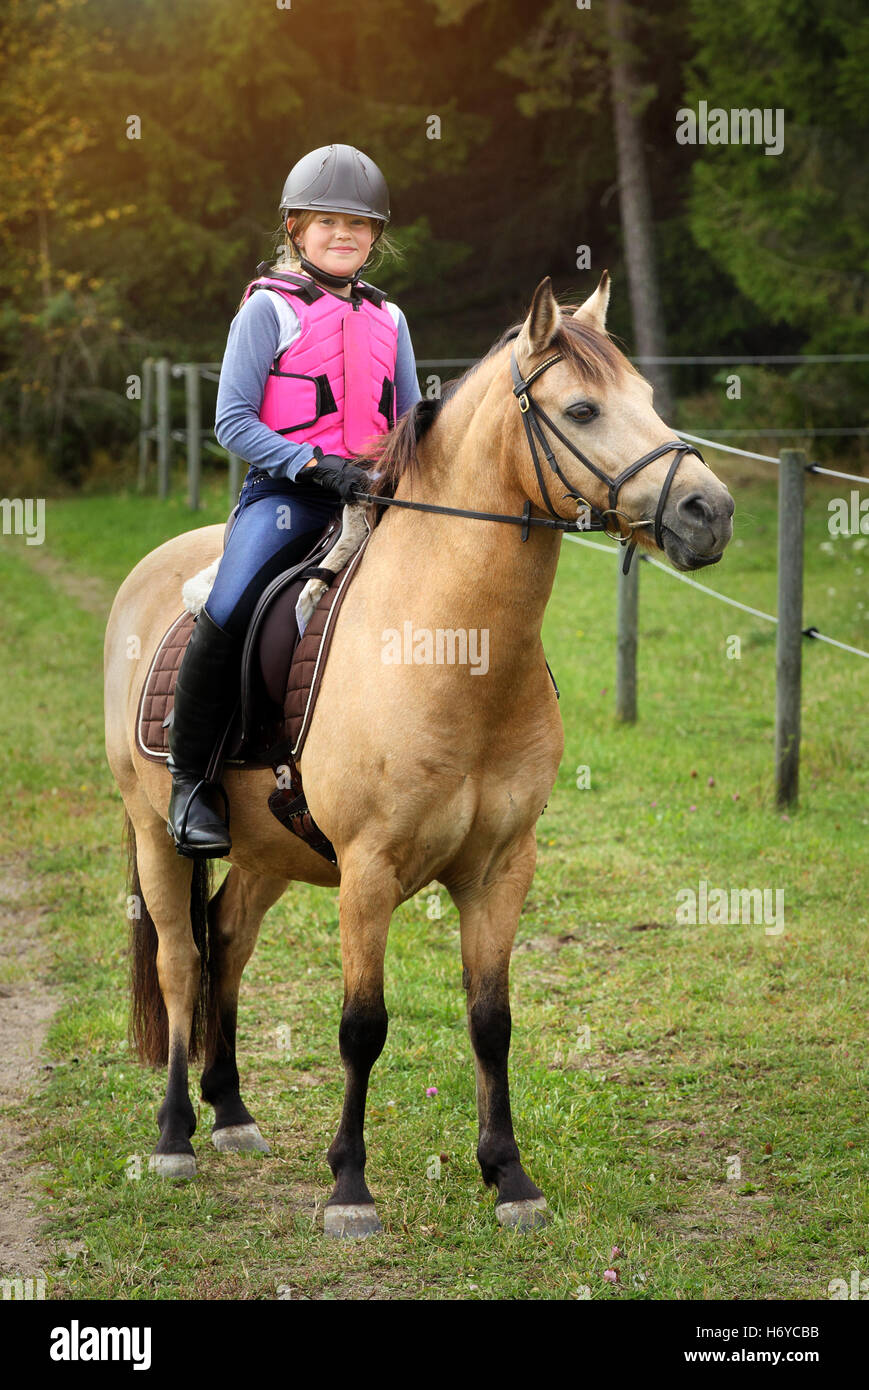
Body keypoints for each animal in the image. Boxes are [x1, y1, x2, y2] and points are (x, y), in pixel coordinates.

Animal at [104, 274, 734, 1236]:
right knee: (180, 960)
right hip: (154, 833)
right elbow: (362, 1027)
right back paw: (176, 1135)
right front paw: (349, 1191)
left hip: (265, 853)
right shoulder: (368, 872)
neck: (452, 649)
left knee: (229, 943)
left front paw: (509, 1178)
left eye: (650, 398)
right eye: (582, 409)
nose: (710, 511)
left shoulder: (501, 868)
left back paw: (232, 1112)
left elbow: (491, 1021)